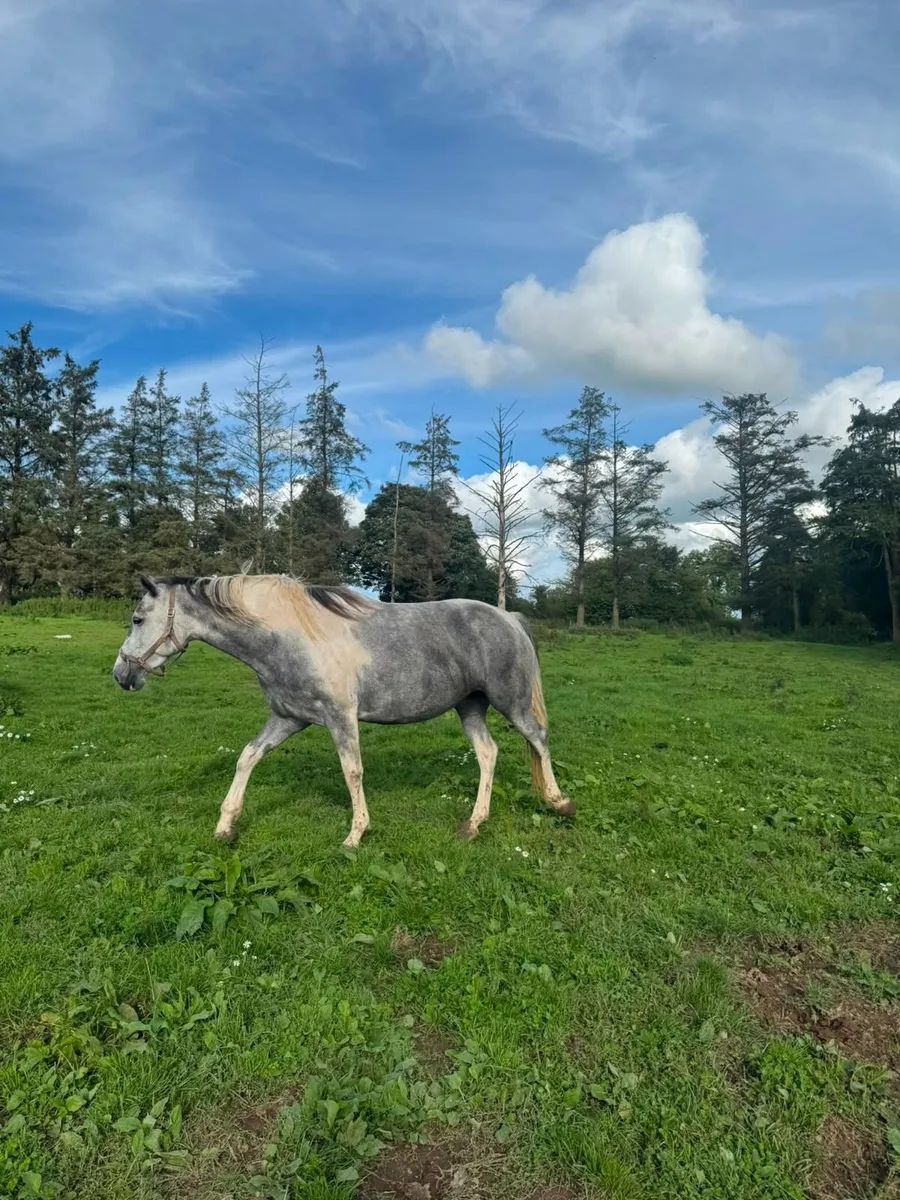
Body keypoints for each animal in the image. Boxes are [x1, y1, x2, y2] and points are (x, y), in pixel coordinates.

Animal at [112, 574, 575, 847]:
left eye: (137, 619)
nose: (121, 674)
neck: (290, 638)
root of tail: (509, 618)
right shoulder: (289, 718)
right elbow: (247, 757)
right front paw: (225, 826)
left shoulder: (340, 718)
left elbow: (352, 771)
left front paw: (355, 835)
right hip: (470, 706)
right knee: (488, 753)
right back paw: (473, 824)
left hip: (510, 700)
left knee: (538, 740)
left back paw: (558, 802)